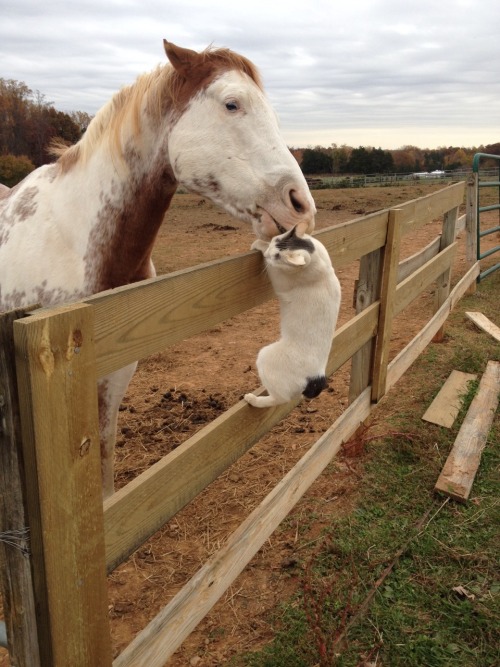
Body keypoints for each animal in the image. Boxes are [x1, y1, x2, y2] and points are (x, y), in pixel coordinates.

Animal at [243, 227, 340, 410]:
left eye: (277, 257)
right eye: (276, 240)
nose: (270, 253)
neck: (319, 262)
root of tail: (316, 378)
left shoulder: (279, 279)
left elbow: (270, 265)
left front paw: (258, 245)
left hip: (266, 357)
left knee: (280, 399)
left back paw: (253, 399)